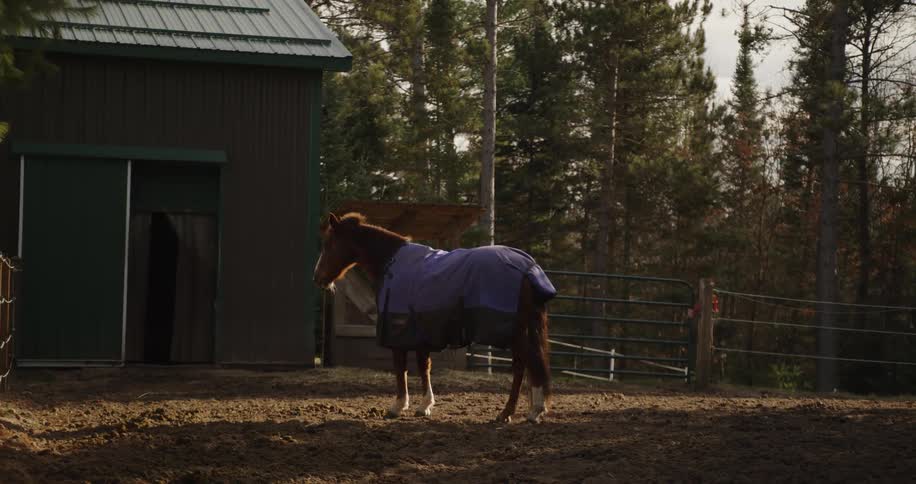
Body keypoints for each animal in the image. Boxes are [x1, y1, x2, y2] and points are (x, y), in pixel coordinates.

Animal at [313, 212, 555, 423]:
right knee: (529, 364)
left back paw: (517, 411)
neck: (391, 263)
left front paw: (398, 406)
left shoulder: (398, 330)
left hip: (515, 331)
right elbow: (424, 366)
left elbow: (401, 367)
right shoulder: (421, 329)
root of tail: (528, 268)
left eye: (329, 244)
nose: (318, 278)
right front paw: (425, 405)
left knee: (524, 365)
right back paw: (529, 411)